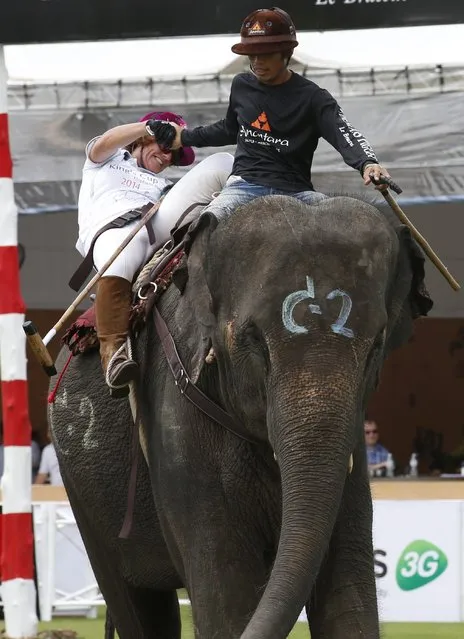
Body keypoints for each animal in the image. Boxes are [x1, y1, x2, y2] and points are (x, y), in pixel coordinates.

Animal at [49, 195, 432, 639]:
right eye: (253, 341)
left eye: (376, 346)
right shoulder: (176, 408)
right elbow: (226, 594)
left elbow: (348, 591)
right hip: (81, 491)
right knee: (134, 603)